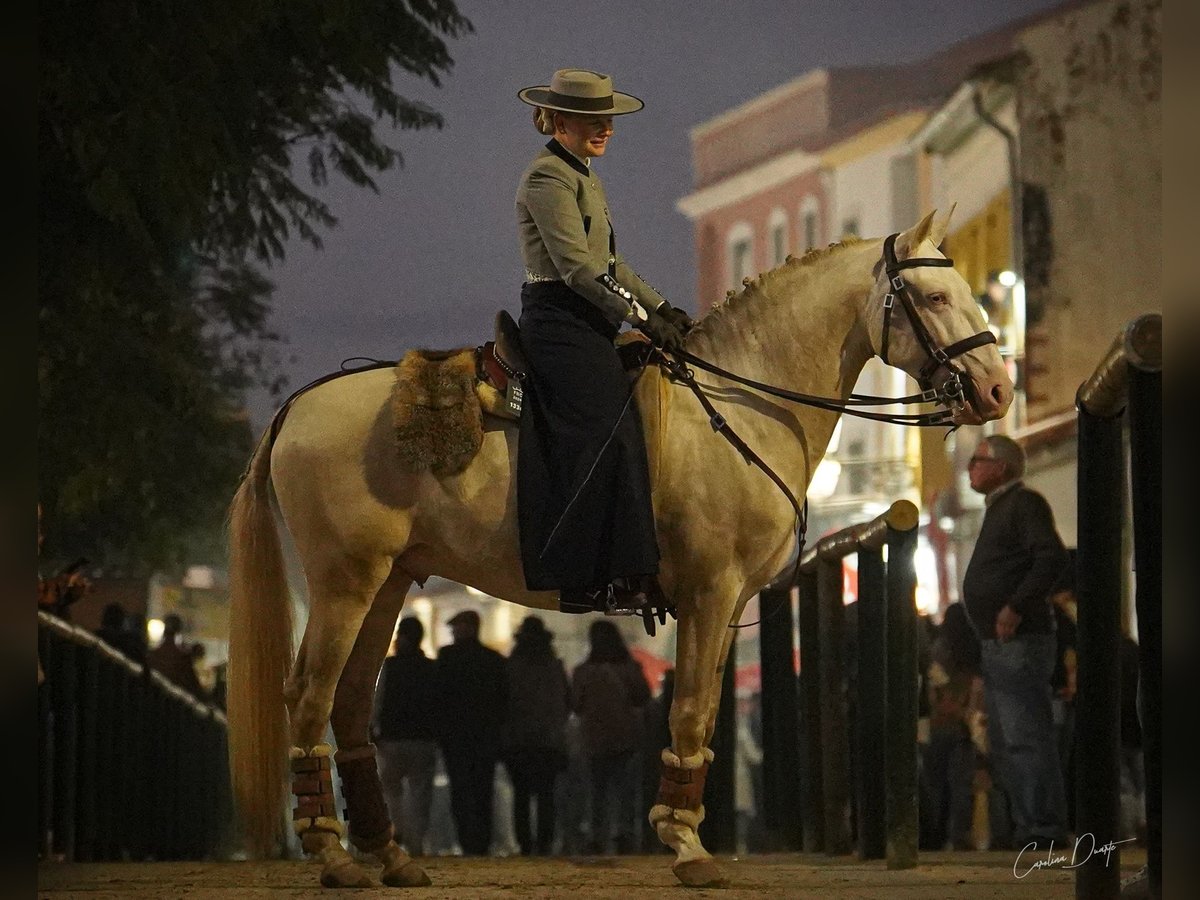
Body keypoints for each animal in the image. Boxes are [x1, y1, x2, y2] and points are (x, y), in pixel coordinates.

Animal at [226, 210, 1012, 888]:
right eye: (934, 295)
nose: (997, 389)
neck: (734, 405)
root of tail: (299, 406)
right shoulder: (709, 592)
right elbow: (690, 711)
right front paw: (687, 846)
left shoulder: (723, 607)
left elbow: (705, 713)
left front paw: (684, 829)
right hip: (344, 583)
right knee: (308, 696)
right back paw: (333, 855)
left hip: (388, 583)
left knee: (351, 703)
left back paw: (389, 855)